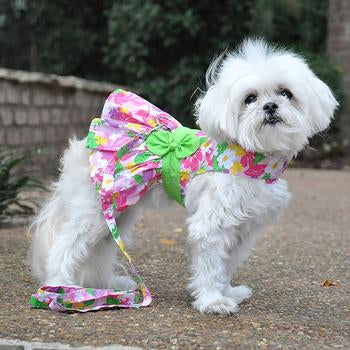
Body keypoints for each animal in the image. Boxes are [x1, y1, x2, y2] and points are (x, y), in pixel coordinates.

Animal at [29, 39, 336, 314]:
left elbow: (226, 264)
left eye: (286, 93)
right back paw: (61, 287)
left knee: (100, 250)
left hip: (118, 212)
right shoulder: (211, 224)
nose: (270, 106)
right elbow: (211, 265)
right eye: (250, 98)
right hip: (93, 212)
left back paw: (106, 285)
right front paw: (213, 301)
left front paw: (227, 291)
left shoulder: (244, 228)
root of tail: (82, 145)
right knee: (64, 246)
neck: (252, 156)